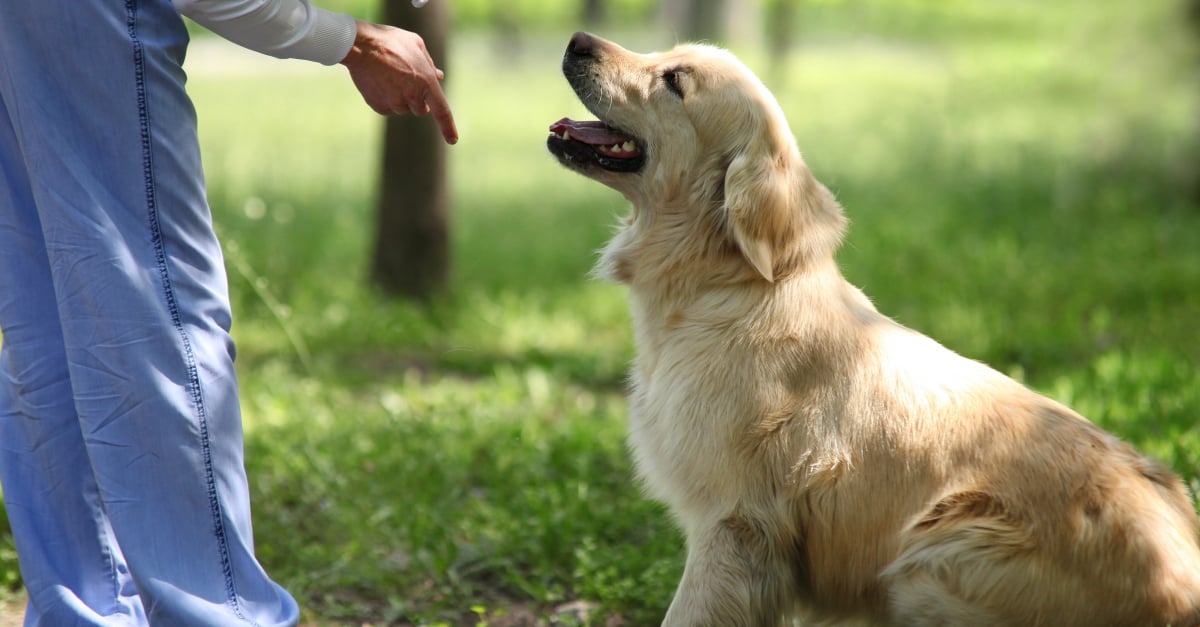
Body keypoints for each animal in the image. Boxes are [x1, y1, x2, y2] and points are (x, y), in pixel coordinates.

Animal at [549, 32, 1200, 624]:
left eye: (675, 81)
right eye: (665, 53)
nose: (577, 40)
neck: (725, 285)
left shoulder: (733, 524)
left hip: (931, 557)